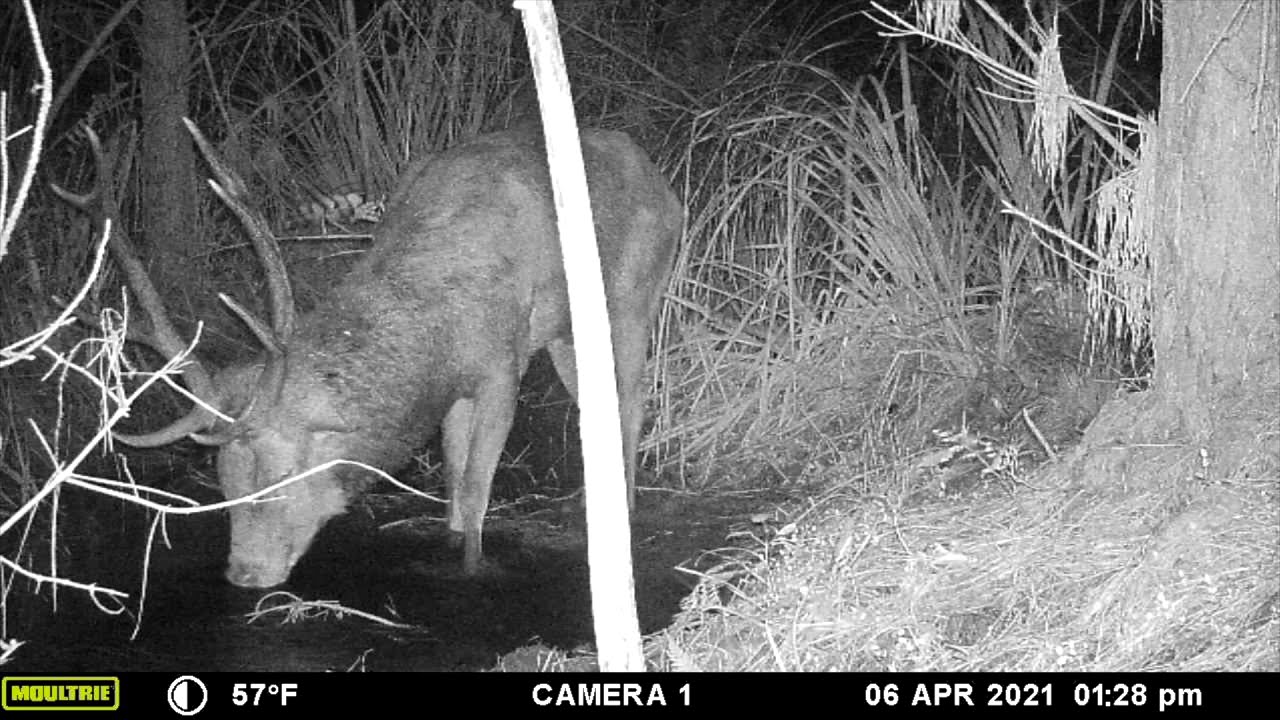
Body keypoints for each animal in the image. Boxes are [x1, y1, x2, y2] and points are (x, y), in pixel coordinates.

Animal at [53, 119, 681, 588]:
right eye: (225, 486)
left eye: (282, 475)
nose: (245, 574)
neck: (437, 325)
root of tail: (664, 182)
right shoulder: (456, 385)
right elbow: (454, 476)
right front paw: (450, 536)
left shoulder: (502, 364)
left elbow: (476, 484)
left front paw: (472, 565)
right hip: (565, 331)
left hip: (634, 293)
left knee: (633, 401)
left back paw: (622, 509)